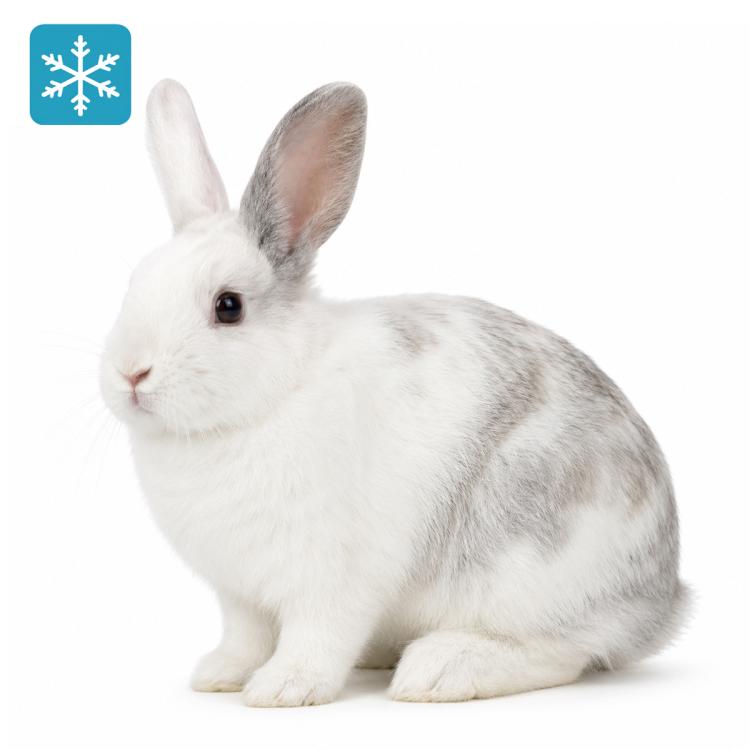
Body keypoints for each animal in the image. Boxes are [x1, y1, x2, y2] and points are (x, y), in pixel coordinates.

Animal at [100, 79, 690, 706]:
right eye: (134, 284)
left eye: (228, 306)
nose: (131, 373)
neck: (270, 399)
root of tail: (660, 600)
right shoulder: (239, 595)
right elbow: (244, 637)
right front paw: (220, 675)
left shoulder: (331, 578)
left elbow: (317, 636)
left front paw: (284, 688)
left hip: (526, 562)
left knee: (562, 650)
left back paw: (438, 669)